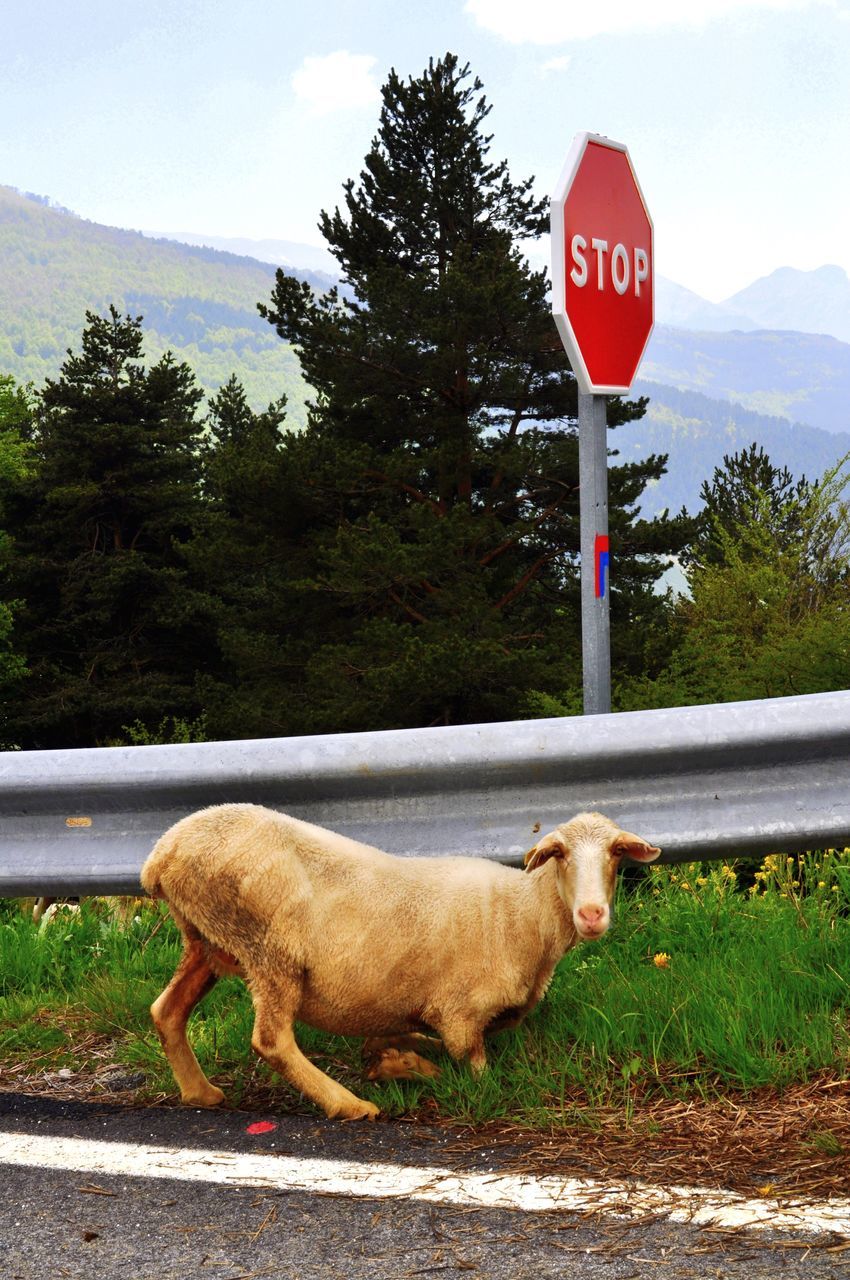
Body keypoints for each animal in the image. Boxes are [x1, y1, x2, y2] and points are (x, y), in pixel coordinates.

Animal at [139, 808, 660, 1121]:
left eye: (616, 853)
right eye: (561, 854)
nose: (592, 914)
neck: (520, 911)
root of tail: (161, 855)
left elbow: (408, 1035)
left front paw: (386, 1052)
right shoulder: (459, 1013)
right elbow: (471, 1073)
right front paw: (399, 1066)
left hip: (207, 940)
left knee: (167, 1011)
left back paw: (201, 1093)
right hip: (269, 947)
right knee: (271, 1040)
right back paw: (349, 1104)